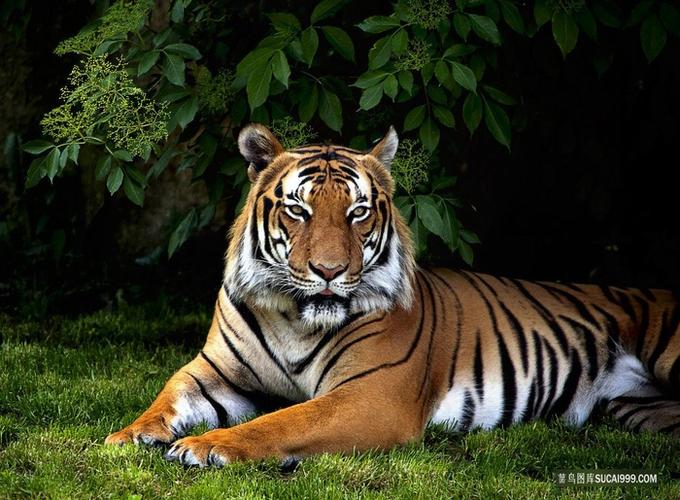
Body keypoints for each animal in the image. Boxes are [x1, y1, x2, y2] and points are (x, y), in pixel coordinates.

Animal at [105, 124, 680, 467]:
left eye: (358, 212)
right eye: (299, 209)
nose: (330, 271)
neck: (295, 319)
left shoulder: (372, 395)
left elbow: (281, 420)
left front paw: (205, 446)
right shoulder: (214, 371)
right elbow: (168, 395)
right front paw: (129, 435)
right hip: (641, 410)